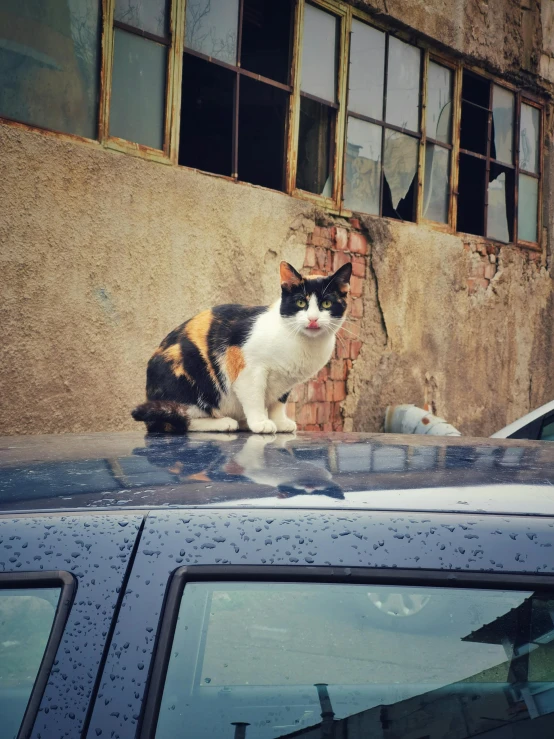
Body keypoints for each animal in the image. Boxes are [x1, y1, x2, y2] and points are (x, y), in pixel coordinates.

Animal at [130, 260, 350, 434]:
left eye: (327, 304)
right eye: (301, 302)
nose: (313, 319)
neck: (303, 343)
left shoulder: (286, 383)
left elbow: (278, 402)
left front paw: (280, 422)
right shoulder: (246, 367)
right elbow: (254, 397)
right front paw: (261, 422)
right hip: (187, 375)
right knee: (180, 420)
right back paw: (224, 423)